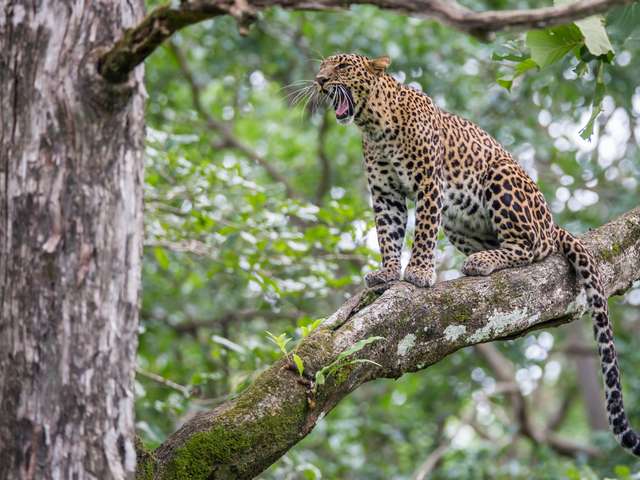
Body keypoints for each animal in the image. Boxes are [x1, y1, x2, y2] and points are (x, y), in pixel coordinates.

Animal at [313, 52, 639, 456]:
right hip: (459, 220)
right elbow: (388, 235)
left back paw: (483, 262)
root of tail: (553, 222)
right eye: (323, 67)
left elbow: (424, 230)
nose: (319, 80)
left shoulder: (429, 182)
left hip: (500, 179)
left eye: (342, 66)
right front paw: (387, 272)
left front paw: (418, 273)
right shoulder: (385, 194)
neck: (374, 125)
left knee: (533, 245)